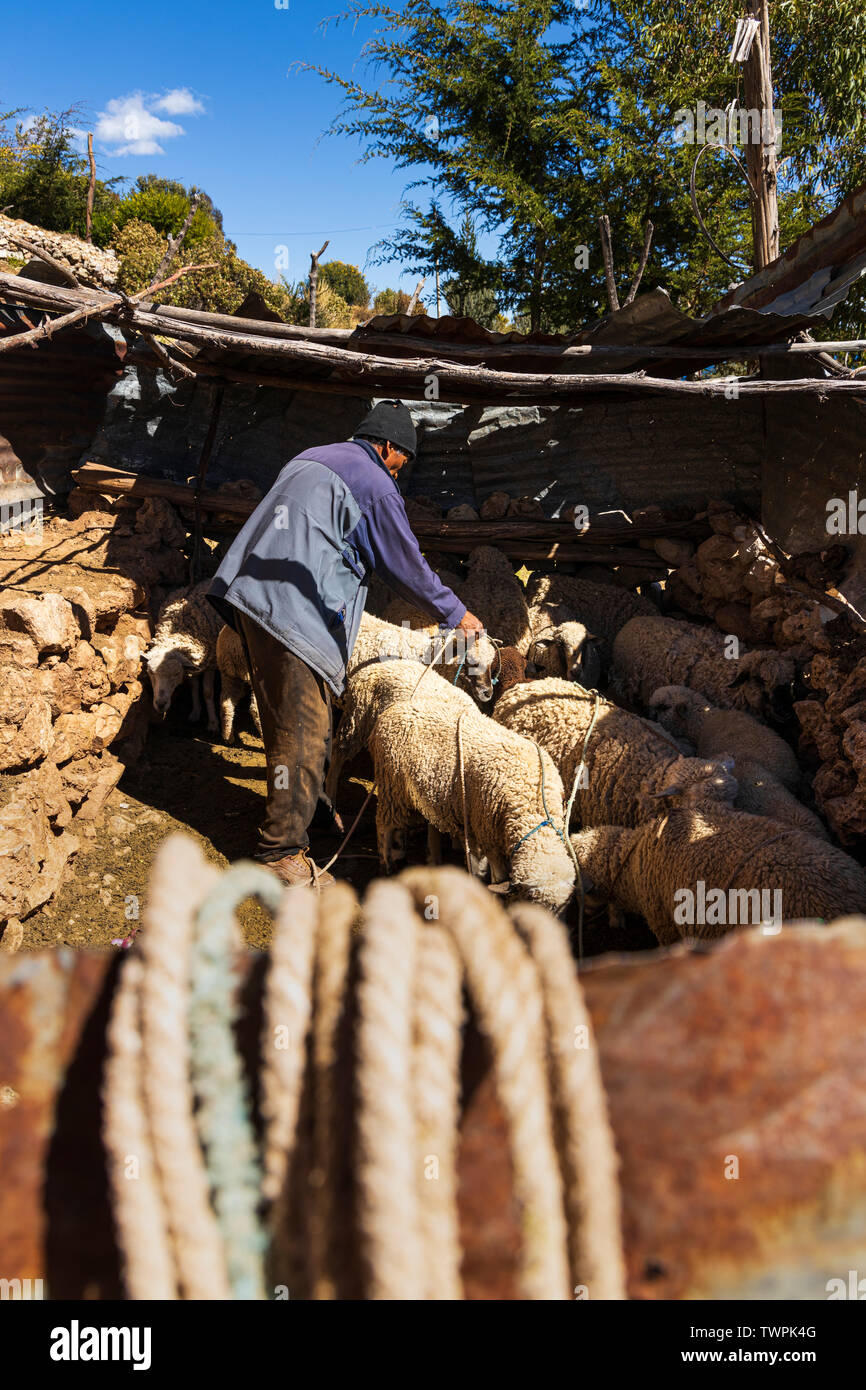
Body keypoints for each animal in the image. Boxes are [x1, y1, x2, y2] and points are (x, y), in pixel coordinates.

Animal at [145, 578, 222, 733]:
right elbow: (193, 686)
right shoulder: (193, 664)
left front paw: (212, 723)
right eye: (151, 673)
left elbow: (207, 692)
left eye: (176, 674)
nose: (160, 704)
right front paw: (195, 712)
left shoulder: (211, 662)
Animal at [330, 658, 575, 917]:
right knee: (382, 823)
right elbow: (495, 875)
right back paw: (384, 862)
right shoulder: (486, 831)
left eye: (561, 910)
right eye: (532, 902)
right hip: (382, 771)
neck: (532, 808)